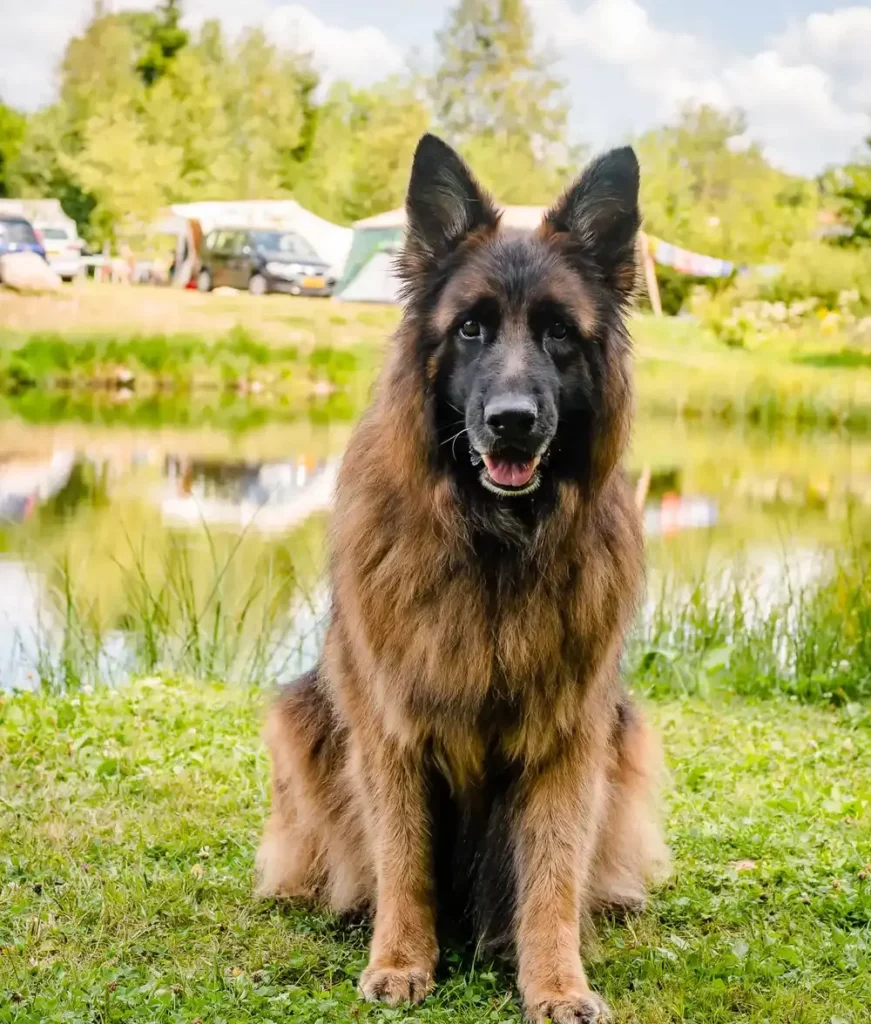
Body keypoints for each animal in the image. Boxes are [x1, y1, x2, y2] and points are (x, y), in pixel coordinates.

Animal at [255, 136, 671, 1024]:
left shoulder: (567, 735)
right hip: (301, 719)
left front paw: (555, 983)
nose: (512, 422)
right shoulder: (391, 730)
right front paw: (401, 961)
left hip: (625, 736)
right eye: (472, 328)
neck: (492, 544)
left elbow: (551, 874)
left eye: (558, 335)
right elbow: (402, 860)